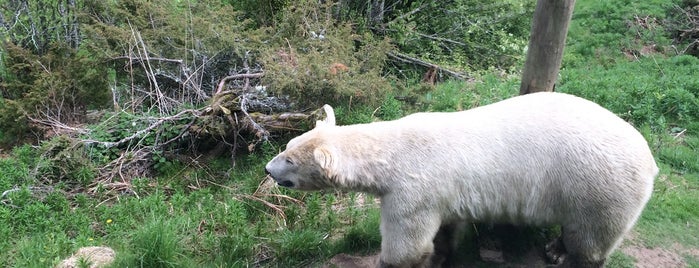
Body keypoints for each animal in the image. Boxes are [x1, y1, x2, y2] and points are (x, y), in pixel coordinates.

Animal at [266, 92, 660, 268]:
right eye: (287, 146)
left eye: (289, 159)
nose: (269, 170)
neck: (390, 152)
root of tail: (649, 159)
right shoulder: (441, 194)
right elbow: (443, 230)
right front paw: (441, 255)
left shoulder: (411, 187)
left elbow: (406, 244)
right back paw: (555, 248)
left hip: (596, 185)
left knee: (591, 238)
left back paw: (566, 254)